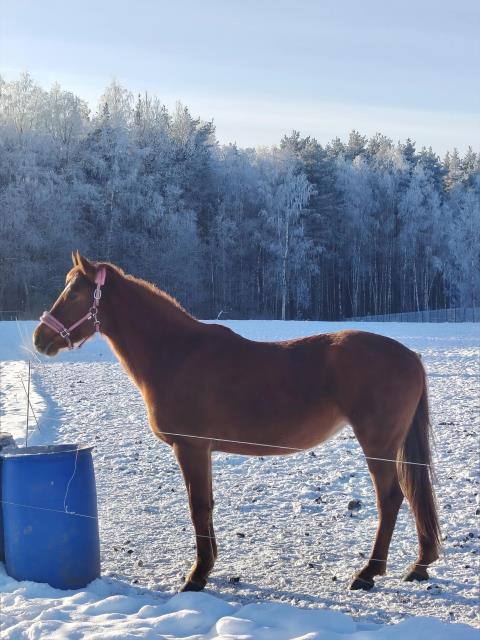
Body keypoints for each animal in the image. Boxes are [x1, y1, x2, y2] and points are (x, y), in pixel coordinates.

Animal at [33, 252, 440, 592]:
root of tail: (410, 356)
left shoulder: (190, 448)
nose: (40, 338)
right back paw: (420, 565)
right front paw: (207, 566)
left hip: (378, 444)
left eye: (74, 293)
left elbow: (198, 507)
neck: (176, 354)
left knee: (391, 499)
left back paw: (369, 573)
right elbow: (207, 505)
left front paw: (197, 576)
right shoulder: (202, 451)